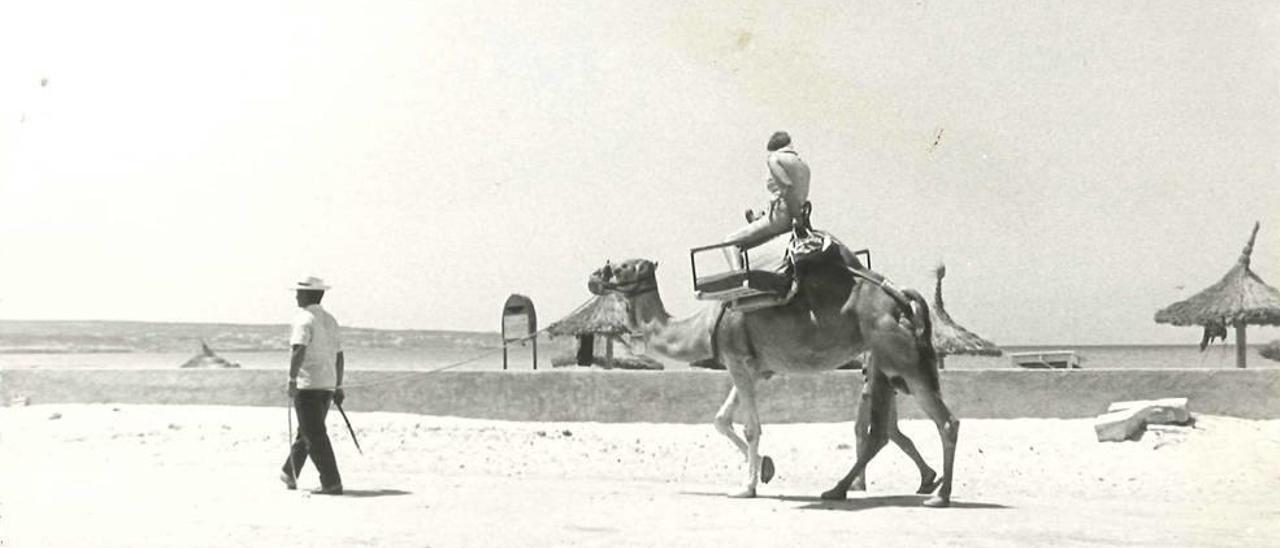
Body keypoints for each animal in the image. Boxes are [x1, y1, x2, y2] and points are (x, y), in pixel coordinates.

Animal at [588, 241, 962, 507]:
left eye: (621, 266)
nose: (593, 277)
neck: (704, 326)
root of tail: (900, 296)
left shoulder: (737, 359)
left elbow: (750, 427)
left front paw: (746, 487)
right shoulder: (754, 369)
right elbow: (721, 419)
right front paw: (766, 467)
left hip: (902, 359)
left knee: (944, 422)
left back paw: (938, 496)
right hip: (887, 363)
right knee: (882, 432)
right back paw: (841, 489)